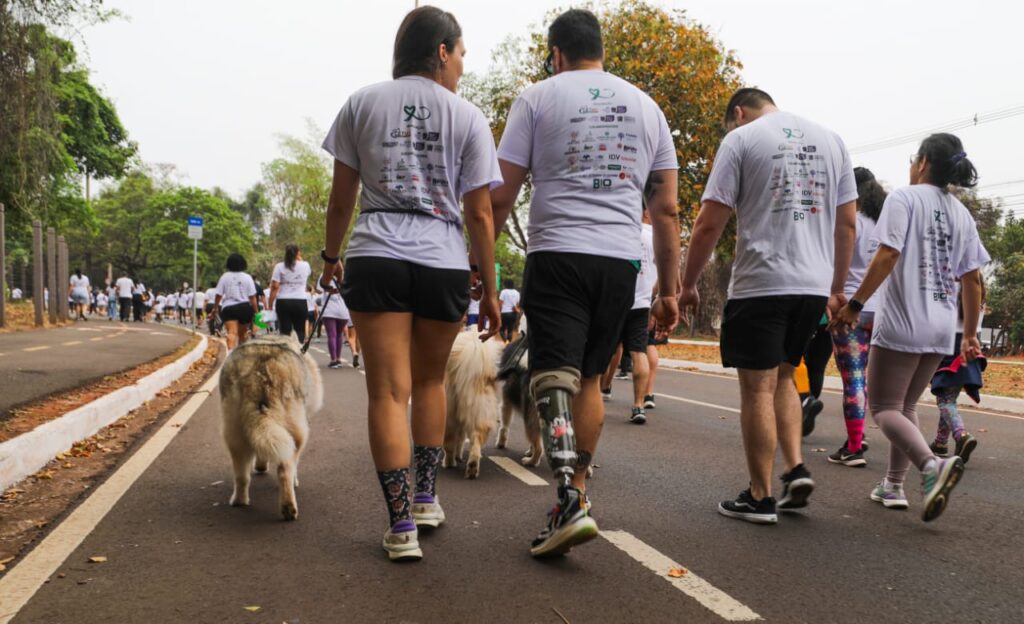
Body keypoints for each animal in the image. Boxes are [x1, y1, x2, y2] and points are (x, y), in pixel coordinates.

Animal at [219, 336, 319, 520]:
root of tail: (259, 373)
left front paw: (260, 465)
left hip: (234, 432)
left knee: (241, 476)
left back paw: (239, 500)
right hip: (295, 433)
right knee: (285, 470)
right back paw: (288, 507)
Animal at [440, 331, 503, 477]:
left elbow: (457, 441)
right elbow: (460, 440)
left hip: (449, 416)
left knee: (449, 443)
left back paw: (449, 463)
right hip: (479, 412)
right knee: (476, 439)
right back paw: (472, 467)